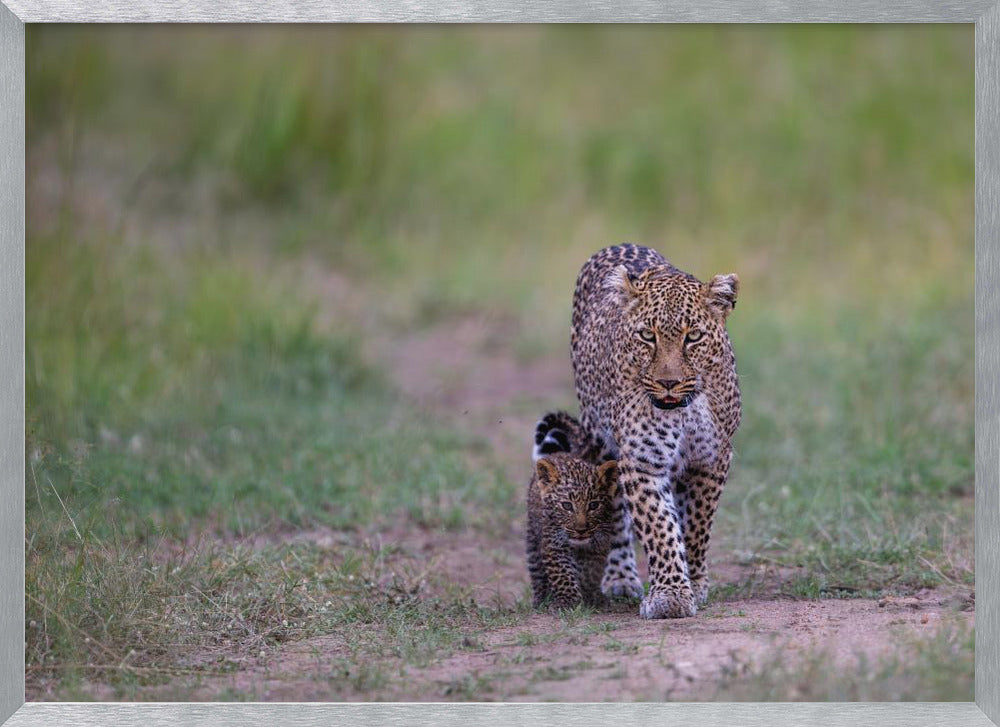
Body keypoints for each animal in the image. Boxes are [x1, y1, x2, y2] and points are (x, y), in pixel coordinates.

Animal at [526, 430, 620, 610]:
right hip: (533, 538)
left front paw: (590, 595)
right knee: (536, 571)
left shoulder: (599, 544)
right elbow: (562, 574)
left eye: (594, 505)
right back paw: (541, 598)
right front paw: (568, 601)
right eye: (567, 505)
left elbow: (590, 572)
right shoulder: (553, 543)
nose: (581, 530)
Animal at [569, 243, 741, 619]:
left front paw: (694, 582)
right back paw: (620, 578)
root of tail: (620, 243)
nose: (668, 382)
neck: (683, 410)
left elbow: (696, 525)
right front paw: (670, 596)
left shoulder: (711, 459)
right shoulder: (642, 460)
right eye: (648, 336)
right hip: (598, 441)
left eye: (693, 337)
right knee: (614, 512)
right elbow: (659, 526)